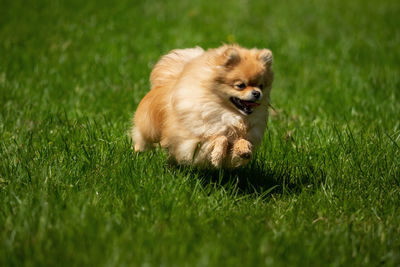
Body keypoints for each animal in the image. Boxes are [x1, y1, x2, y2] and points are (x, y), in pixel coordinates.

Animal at [133, 44, 274, 169]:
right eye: (240, 85)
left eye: (261, 86)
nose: (257, 93)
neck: (228, 113)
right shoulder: (195, 142)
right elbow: (220, 138)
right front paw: (217, 155)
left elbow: (242, 141)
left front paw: (244, 150)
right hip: (149, 131)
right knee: (141, 139)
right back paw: (137, 153)